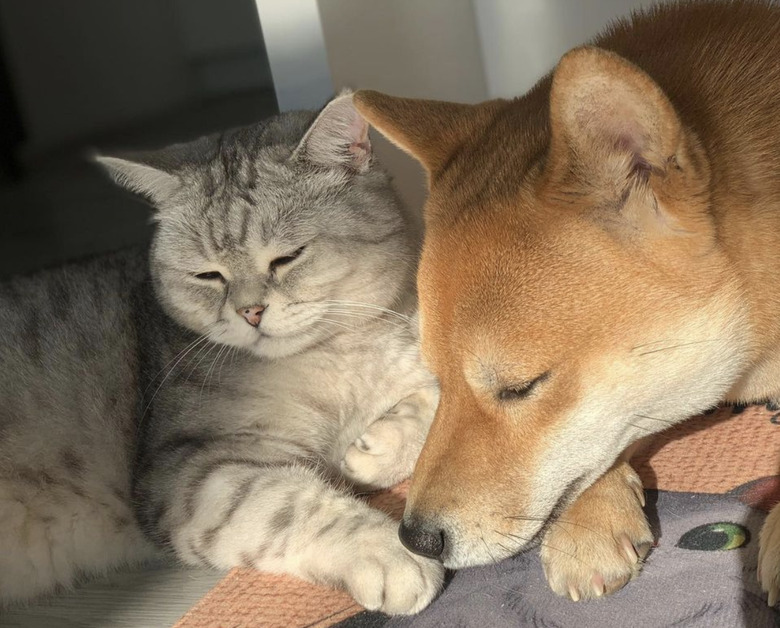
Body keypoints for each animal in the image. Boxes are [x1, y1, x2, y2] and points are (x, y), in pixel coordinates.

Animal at [0, 93, 442, 612]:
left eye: (287, 257)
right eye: (207, 275)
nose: (250, 311)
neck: (342, 352)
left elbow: (440, 398)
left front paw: (376, 448)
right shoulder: (192, 472)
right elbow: (290, 506)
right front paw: (390, 550)